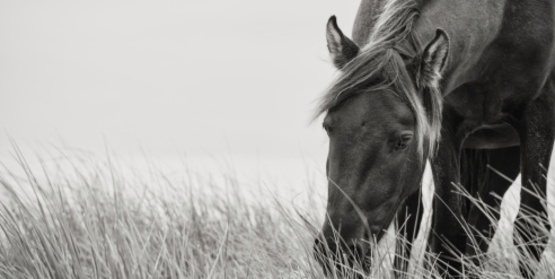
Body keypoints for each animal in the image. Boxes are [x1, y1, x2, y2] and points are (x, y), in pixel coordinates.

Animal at [312, 0, 555, 278]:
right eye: (328, 127)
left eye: (403, 139)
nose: (337, 251)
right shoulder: (444, 124)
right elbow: (447, 234)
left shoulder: (539, 114)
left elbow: (531, 226)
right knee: (416, 221)